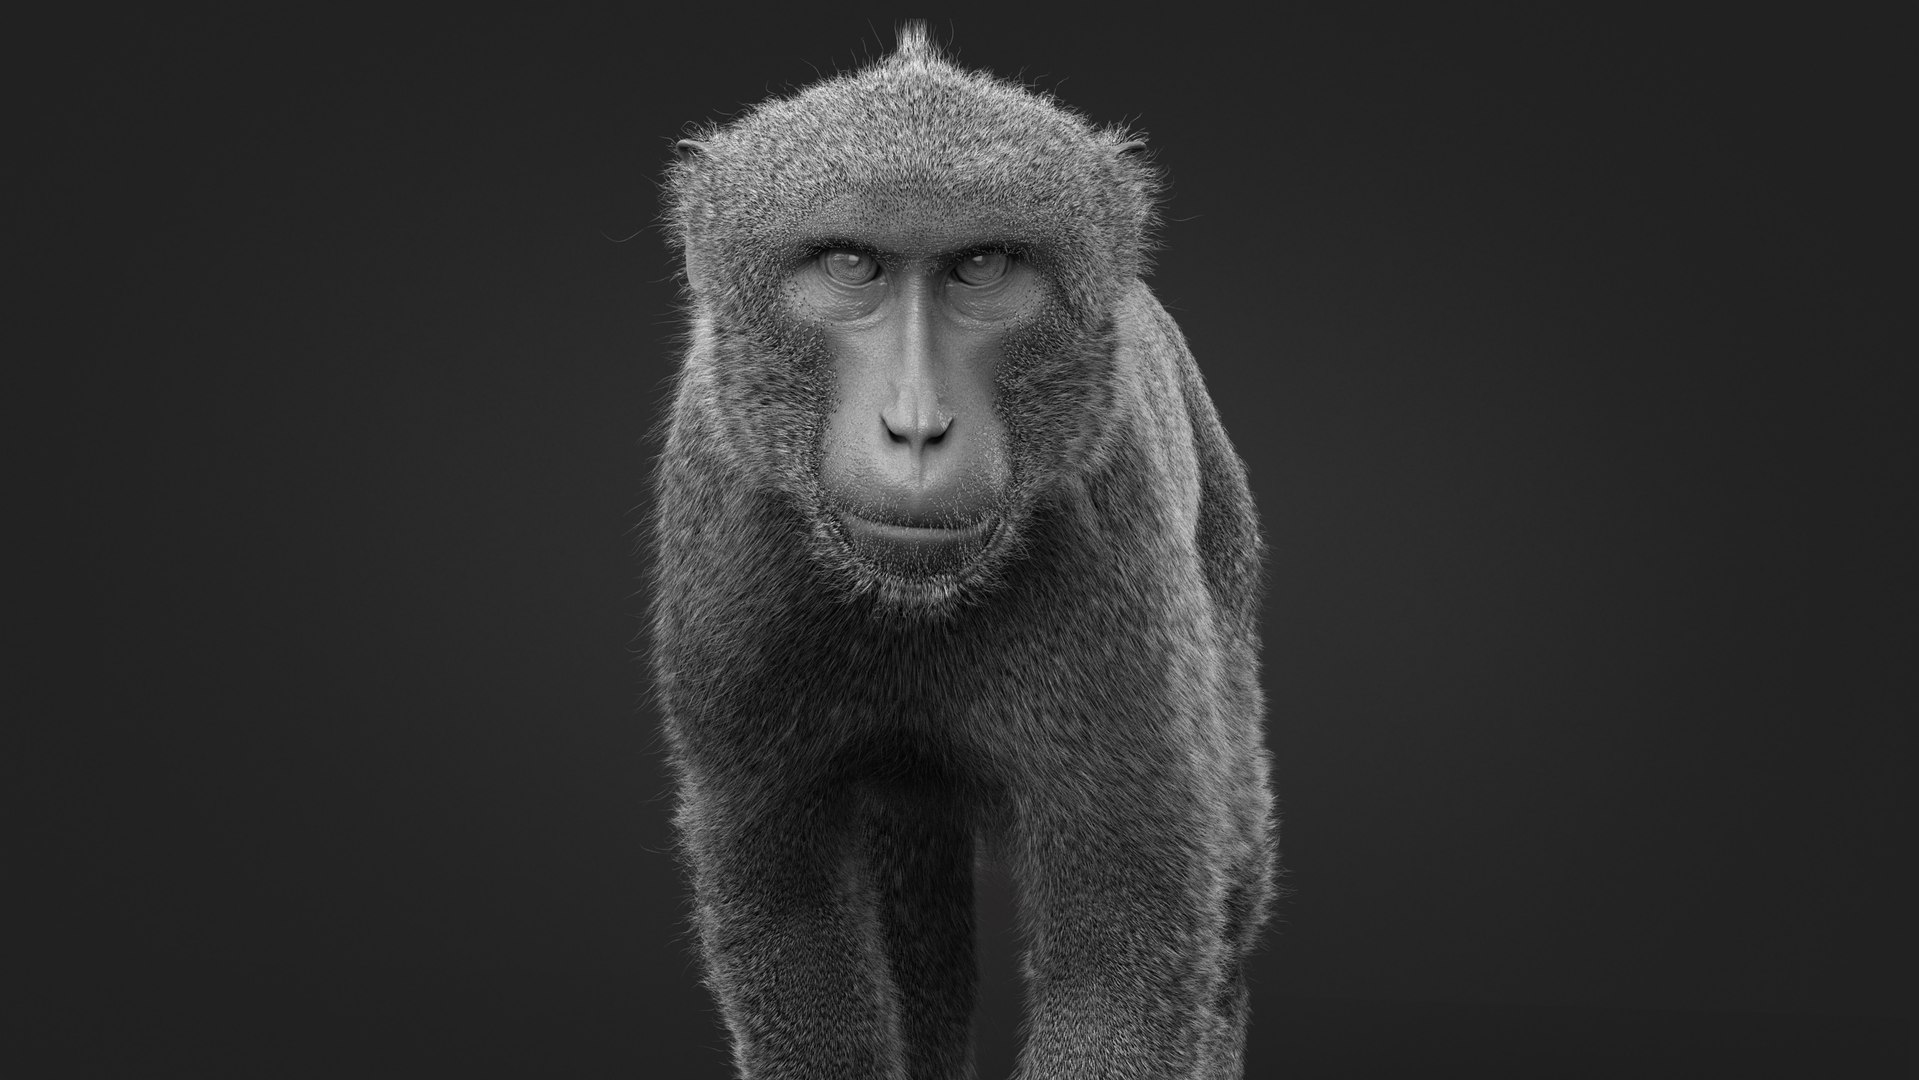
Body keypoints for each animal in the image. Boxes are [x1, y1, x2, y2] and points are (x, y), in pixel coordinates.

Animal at [650, 23, 1276, 1080]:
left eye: (982, 267)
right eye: (849, 265)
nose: (915, 426)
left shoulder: (1114, 545)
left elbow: (1123, 948)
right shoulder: (728, 552)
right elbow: (784, 907)